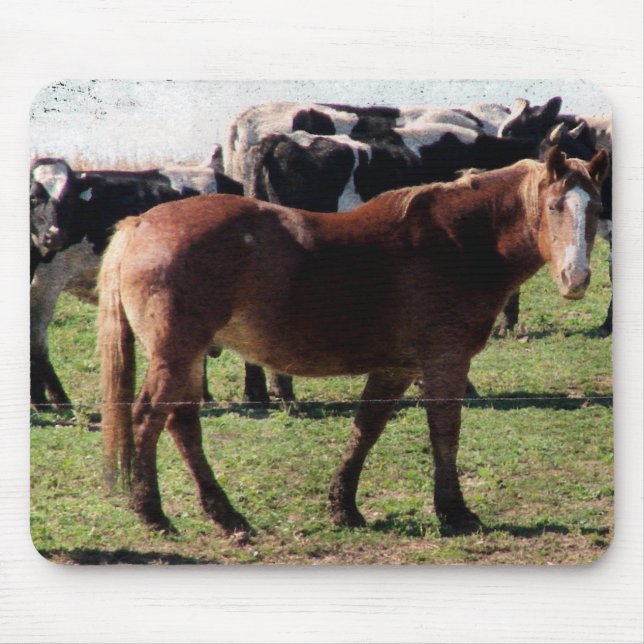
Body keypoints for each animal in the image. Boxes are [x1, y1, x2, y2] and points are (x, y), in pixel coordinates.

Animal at [30, 153, 243, 410]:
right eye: (33, 196)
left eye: (69, 197)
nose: (54, 235)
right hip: (47, 282)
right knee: (37, 338)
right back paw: (54, 399)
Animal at [98, 146, 608, 540]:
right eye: (555, 207)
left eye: (597, 210)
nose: (576, 278)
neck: (457, 241)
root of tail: (140, 225)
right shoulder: (444, 361)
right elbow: (445, 431)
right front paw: (455, 511)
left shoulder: (396, 368)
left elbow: (366, 429)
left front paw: (343, 507)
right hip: (177, 355)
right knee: (149, 419)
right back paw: (154, 515)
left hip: (186, 359)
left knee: (181, 424)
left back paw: (225, 516)